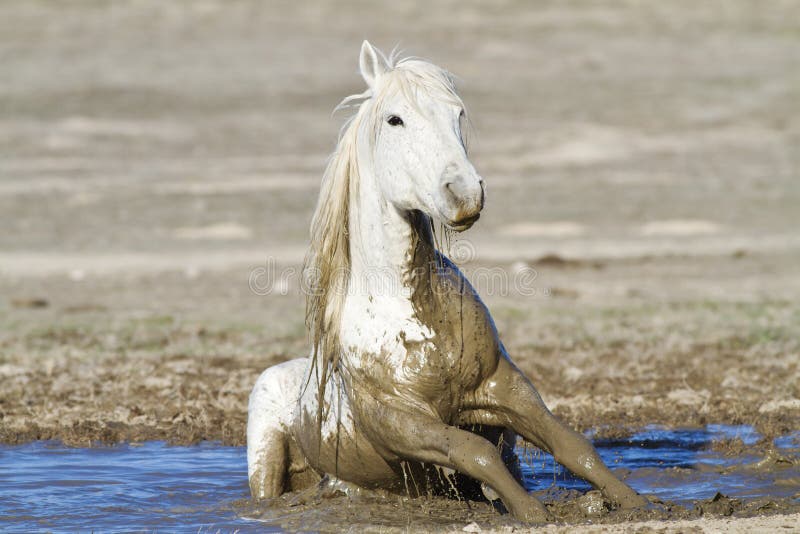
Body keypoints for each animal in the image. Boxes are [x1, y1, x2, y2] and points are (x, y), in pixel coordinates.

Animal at [247, 42, 648, 524]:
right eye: (394, 119)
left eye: (457, 113)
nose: (464, 194)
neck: (411, 312)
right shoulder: (401, 422)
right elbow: (473, 451)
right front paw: (532, 512)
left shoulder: (500, 385)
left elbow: (571, 444)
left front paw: (638, 503)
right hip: (266, 455)